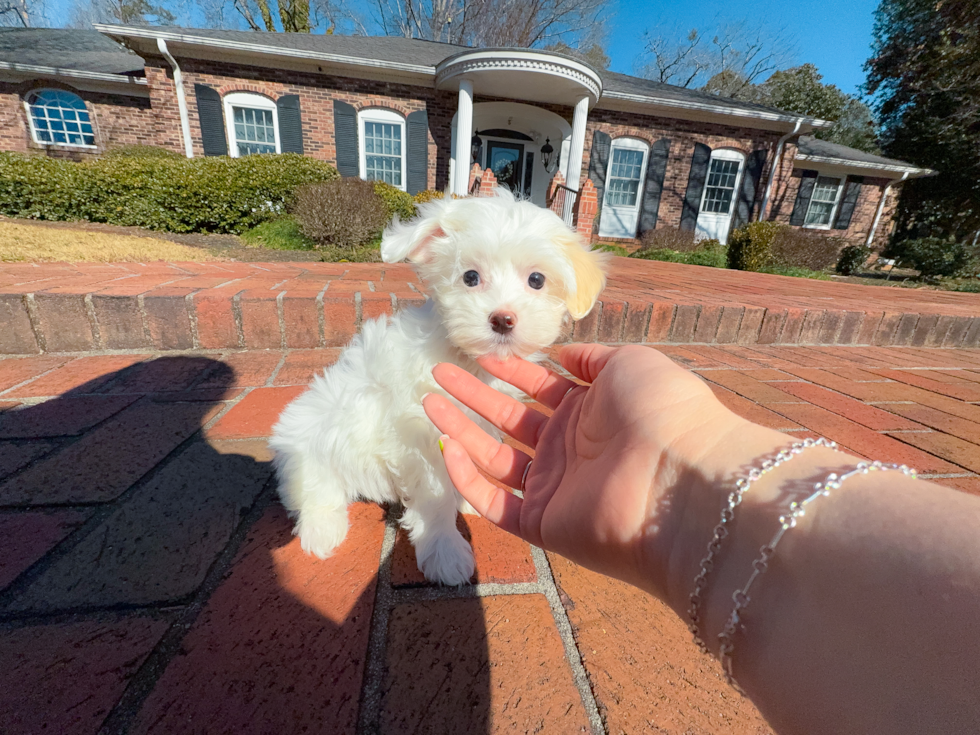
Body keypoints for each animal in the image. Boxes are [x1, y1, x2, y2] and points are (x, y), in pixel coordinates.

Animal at [268, 191, 604, 588]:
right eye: (470, 277)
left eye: (536, 279)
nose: (503, 319)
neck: (465, 359)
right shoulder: (419, 435)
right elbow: (436, 494)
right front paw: (445, 550)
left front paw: (468, 498)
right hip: (310, 435)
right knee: (314, 488)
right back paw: (322, 530)